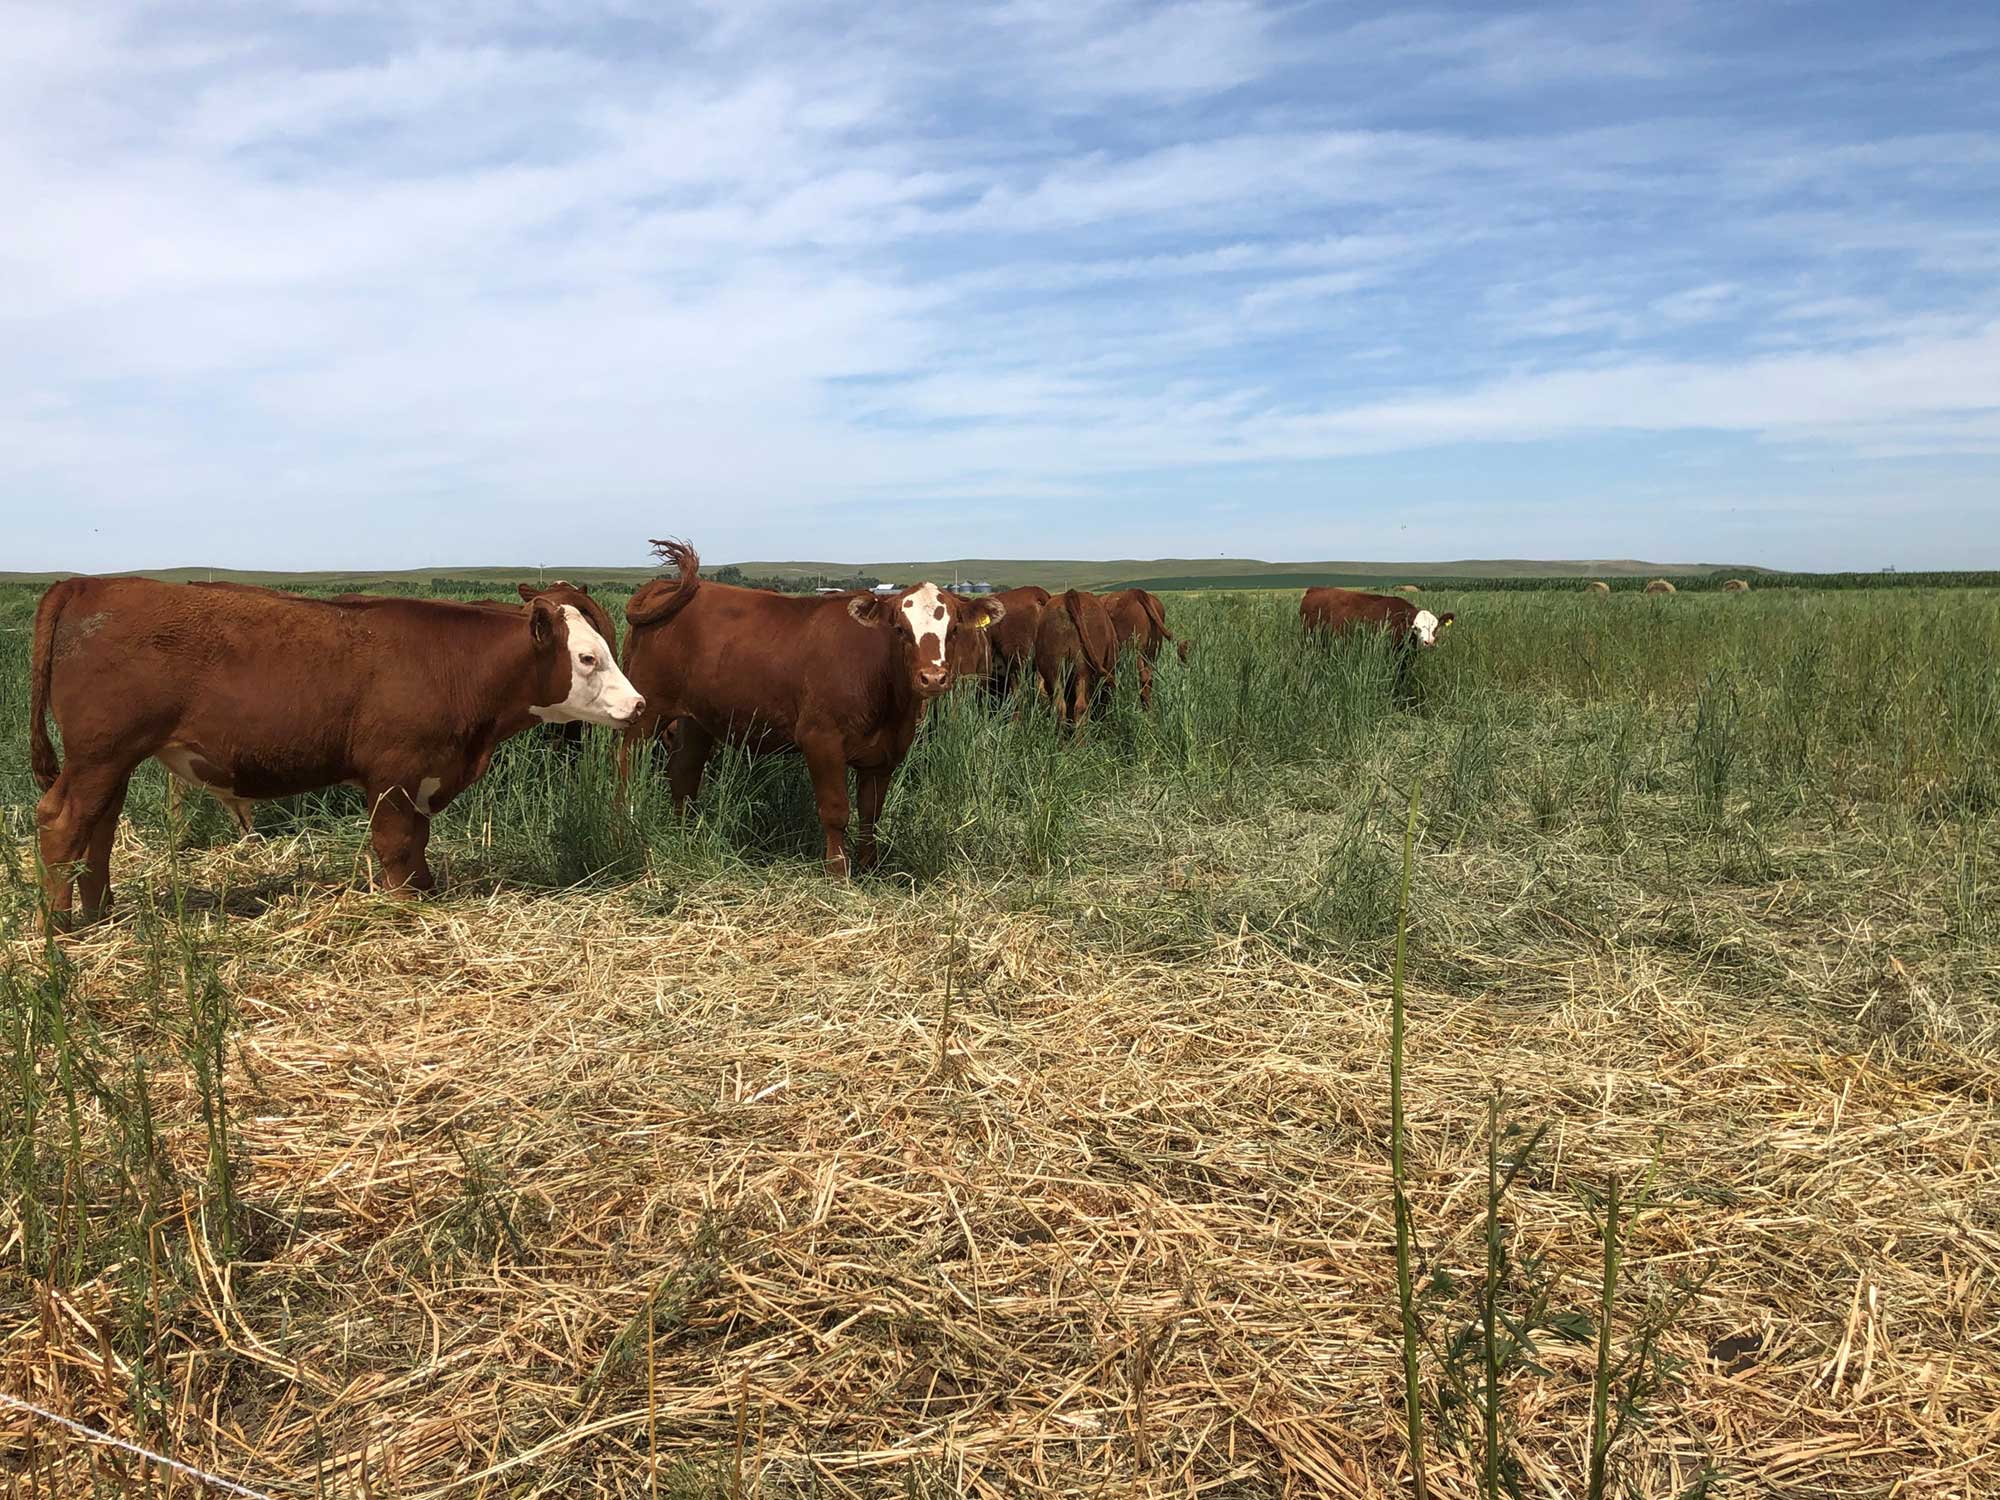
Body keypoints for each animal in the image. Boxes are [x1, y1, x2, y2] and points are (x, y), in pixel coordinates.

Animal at [29, 580, 640, 924]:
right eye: (587, 657)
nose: (636, 705)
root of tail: (85, 584)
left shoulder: (421, 776)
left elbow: (418, 846)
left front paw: (424, 894)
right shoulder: (392, 773)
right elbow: (397, 846)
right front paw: (402, 910)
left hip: (113, 762)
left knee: (99, 829)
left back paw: (98, 911)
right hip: (99, 755)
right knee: (62, 823)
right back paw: (61, 926)